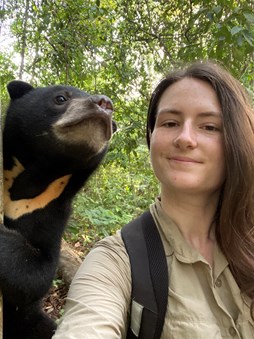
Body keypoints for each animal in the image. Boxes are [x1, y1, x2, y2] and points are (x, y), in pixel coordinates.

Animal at [0, 81, 115, 339]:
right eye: (61, 98)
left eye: (113, 122)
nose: (105, 104)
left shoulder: (51, 212)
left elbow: (37, 274)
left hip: (28, 320)